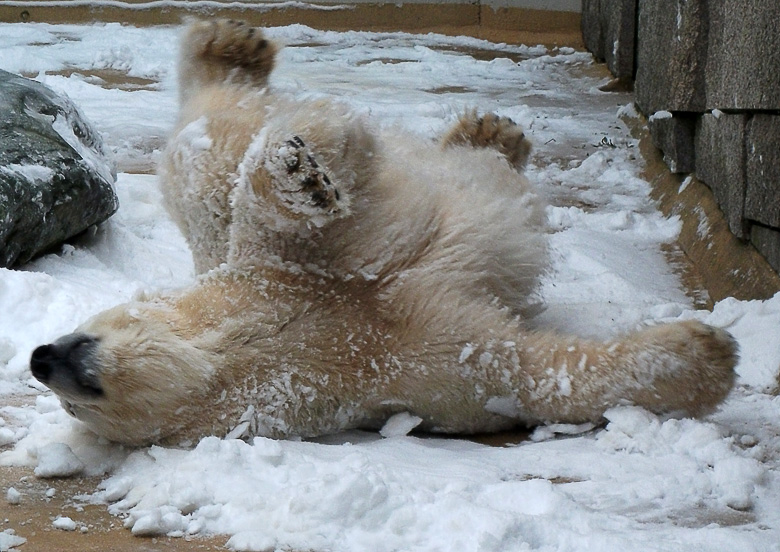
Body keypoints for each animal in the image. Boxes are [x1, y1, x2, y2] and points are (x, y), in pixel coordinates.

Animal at [30, 19, 736, 446]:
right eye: (80, 402)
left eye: (80, 374)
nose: (44, 359)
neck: (290, 323)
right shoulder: (409, 371)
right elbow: (529, 374)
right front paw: (705, 358)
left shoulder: (288, 265)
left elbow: (310, 167)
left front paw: (303, 176)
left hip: (212, 202)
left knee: (211, 154)